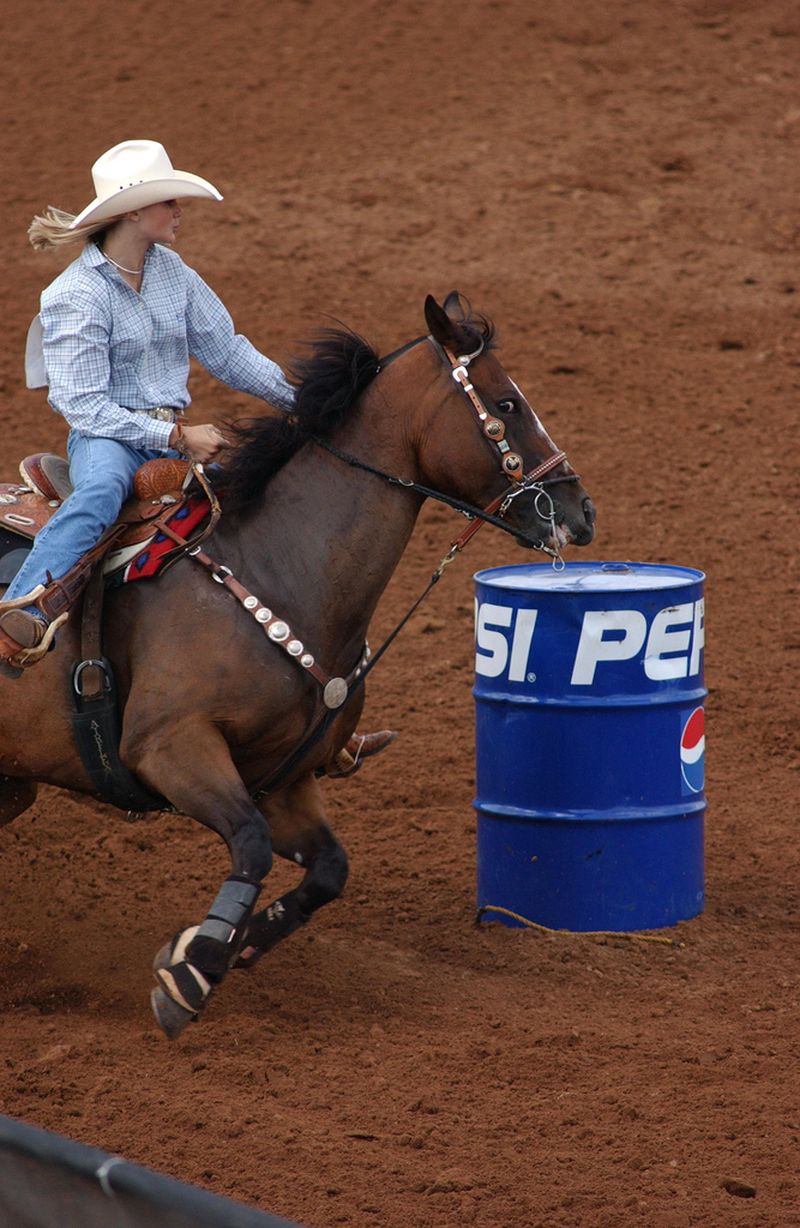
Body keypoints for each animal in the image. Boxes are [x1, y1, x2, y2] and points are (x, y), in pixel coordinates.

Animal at [0, 294, 594, 1036]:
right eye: (508, 403)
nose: (579, 510)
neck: (276, 566)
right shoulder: (170, 748)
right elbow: (251, 846)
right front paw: (189, 971)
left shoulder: (281, 779)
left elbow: (328, 871)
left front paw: (231, 948)